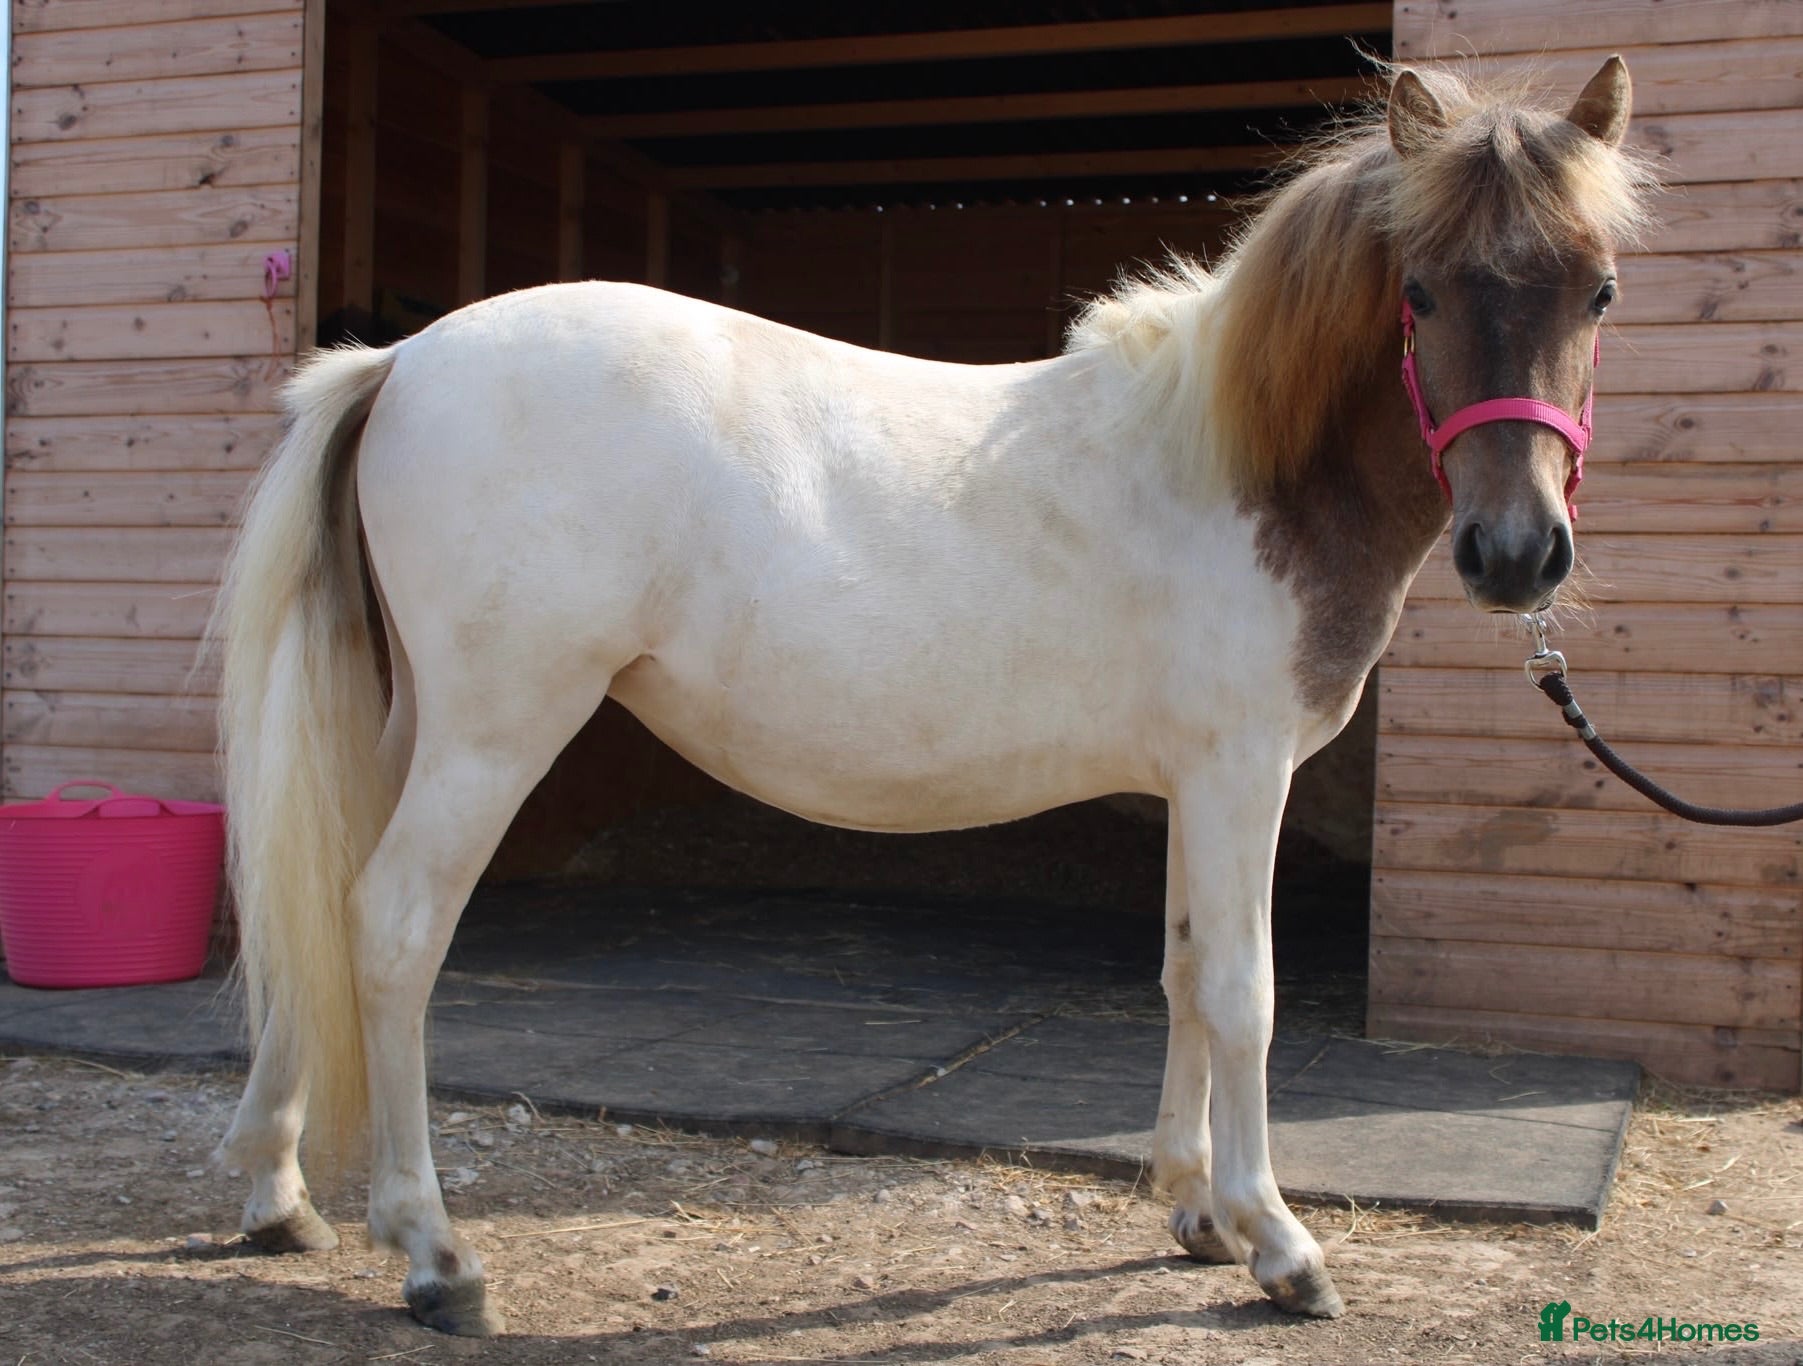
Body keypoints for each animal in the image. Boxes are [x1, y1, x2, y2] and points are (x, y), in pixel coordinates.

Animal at [212, 59, 1653, 1335]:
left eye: (1597, 292)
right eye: (1418, 291)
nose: (1517, 554)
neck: (1239, 467)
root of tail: (399, 362)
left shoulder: (1194, 783)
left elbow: (1186, 972)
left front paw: (1195, 1210)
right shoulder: (1242, 773)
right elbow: (1244, 992)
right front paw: (1279, 1243)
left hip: (414, 724)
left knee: (321, 906)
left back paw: (279, 1193)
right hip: (492, 733)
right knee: (392, 926)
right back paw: (434, 1254)